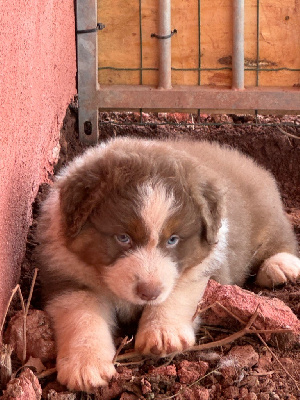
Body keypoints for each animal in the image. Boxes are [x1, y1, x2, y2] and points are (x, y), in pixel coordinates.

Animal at [37, 137, 300, 390]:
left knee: (282, 236)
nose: (149, 292)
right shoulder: (67, 277)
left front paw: (164, 334)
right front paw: (85, 366)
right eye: (123, 237)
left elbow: (180, 289)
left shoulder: (208, 264)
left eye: (173, 239)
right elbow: (82, 317)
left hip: (266, 215)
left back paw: (280, 266)